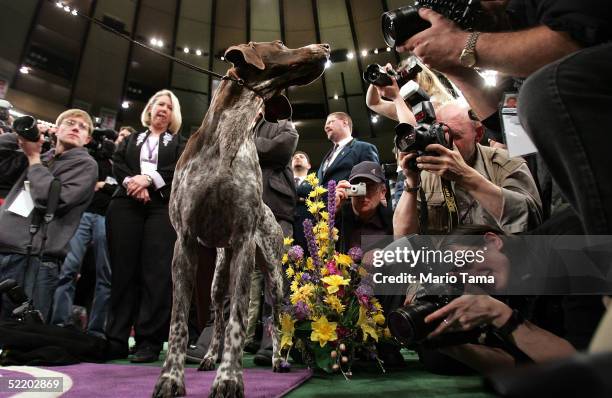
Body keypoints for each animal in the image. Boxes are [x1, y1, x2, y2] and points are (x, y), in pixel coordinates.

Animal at [152, 41, 330, 398]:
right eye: (280, 45)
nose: (325, 47)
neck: (230, 134)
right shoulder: (186, 242)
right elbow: (180, 322)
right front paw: (171, 379)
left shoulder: (244, 242)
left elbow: (238, 320)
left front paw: (230, 379)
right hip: (218, 276)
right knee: (219, 318)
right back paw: (209, 357)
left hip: (272, 276)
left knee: (275, 320)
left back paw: (277, 359)